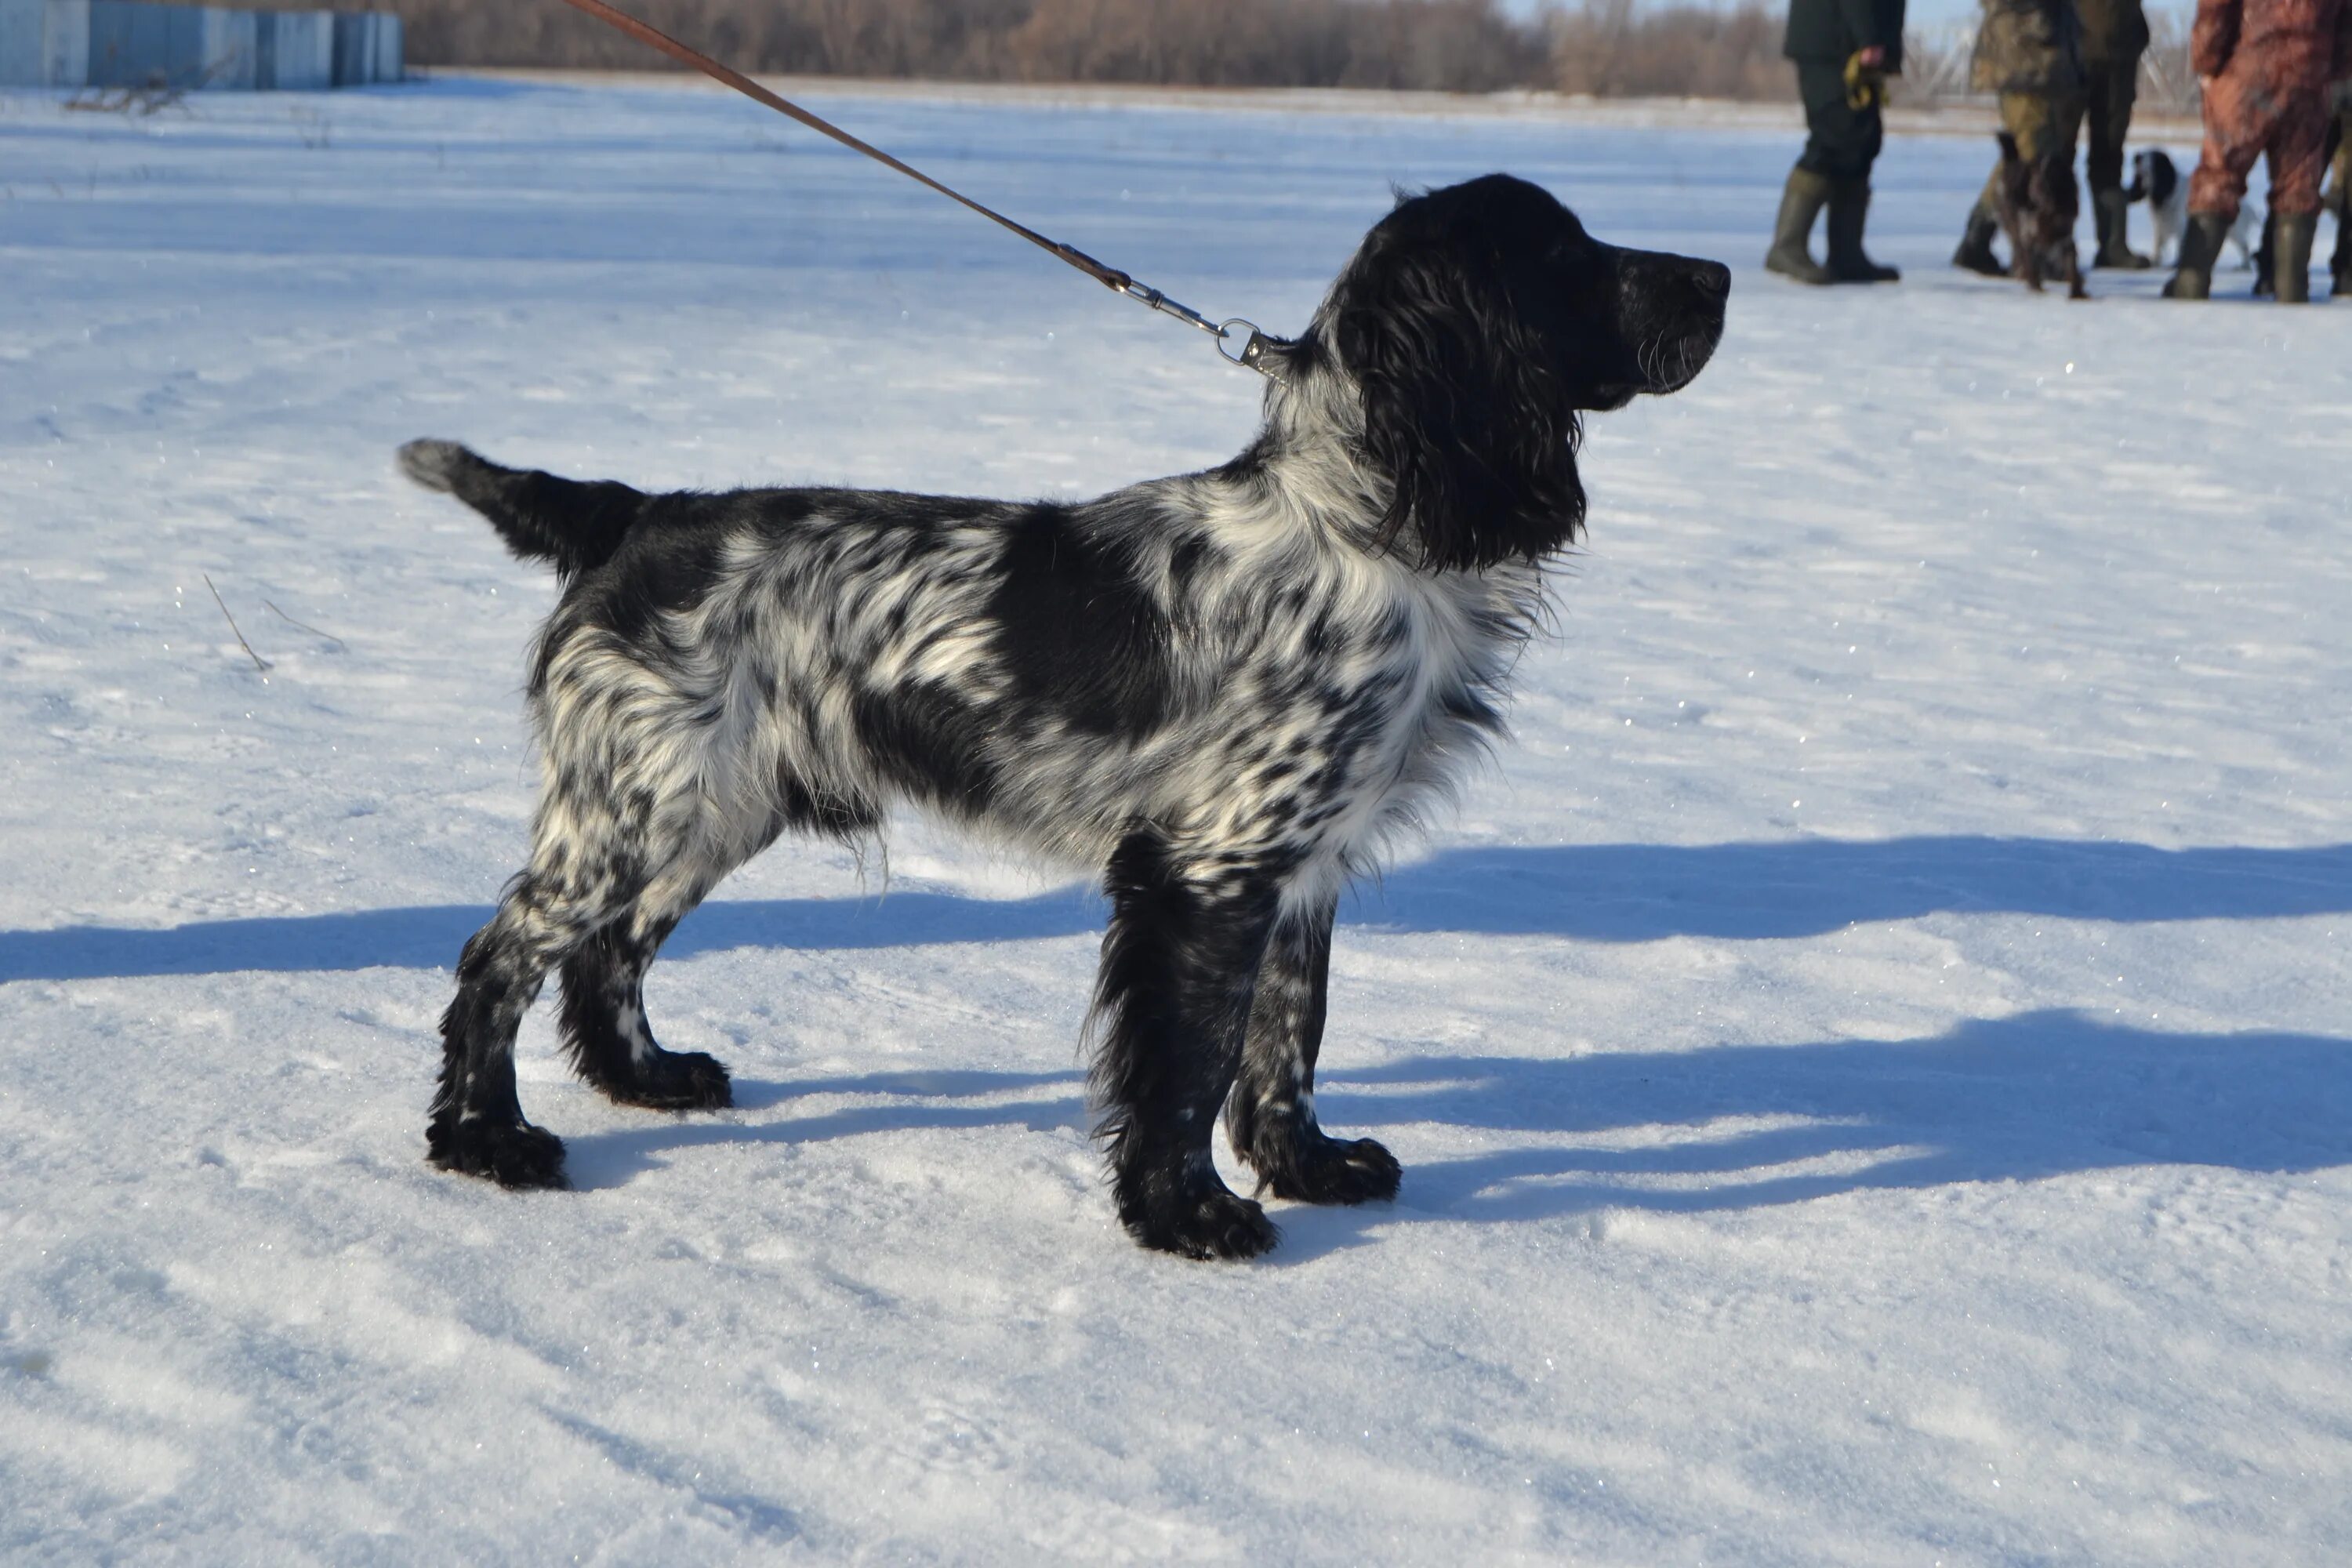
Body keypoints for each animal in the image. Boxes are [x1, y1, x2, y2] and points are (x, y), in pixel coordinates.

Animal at [400, 171, 1731, 1260]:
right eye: (1565, 254)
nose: (1719, 277)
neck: (1361, 521)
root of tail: (630, 513)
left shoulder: (1299, 865)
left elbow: (1286, 1035)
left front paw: (1306, 1167)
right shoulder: (1208, 867)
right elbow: (1191, 1060)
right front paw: (1189, 1215)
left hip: (710, 804)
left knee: (608, 953)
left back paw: (649, 1079)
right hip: (635, 803)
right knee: (501, 954)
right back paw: (485, 1139)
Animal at [2136, 148, 2258, 267]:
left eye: (2153, 157)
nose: (2137, 157)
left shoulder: (2181, 225)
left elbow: (2179, 245)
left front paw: (2177, 263)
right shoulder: (2160, 225)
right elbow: (2158, 244)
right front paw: (2155, 261)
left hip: (2234, 230)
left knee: (2244, 245)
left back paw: (2244, 266)